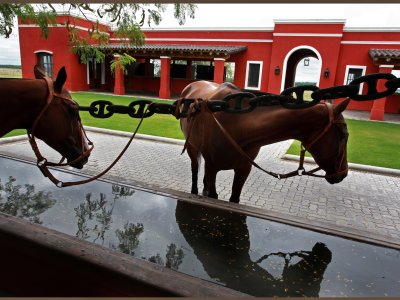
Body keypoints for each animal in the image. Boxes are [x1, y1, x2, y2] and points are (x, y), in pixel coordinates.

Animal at [180, 79, 348, 203]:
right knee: (195, 168)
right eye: (343, 136)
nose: (344, 173)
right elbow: (212, 193)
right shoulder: (212, 167)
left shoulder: (243, 169)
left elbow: (234, 198)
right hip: (192, 148)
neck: (237, 124)